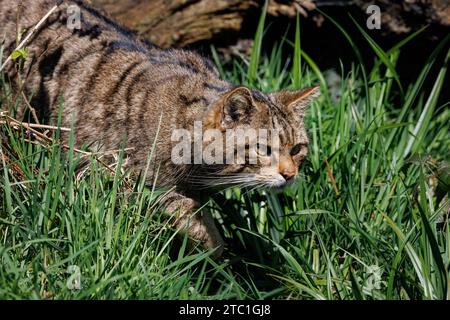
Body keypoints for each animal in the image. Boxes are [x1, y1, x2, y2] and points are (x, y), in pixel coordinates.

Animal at [1, 0, 322, 258]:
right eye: (263, 149)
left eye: (296, 148)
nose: (290, 174)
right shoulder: (111, 172)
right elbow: (187, 211)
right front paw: (214, 247)